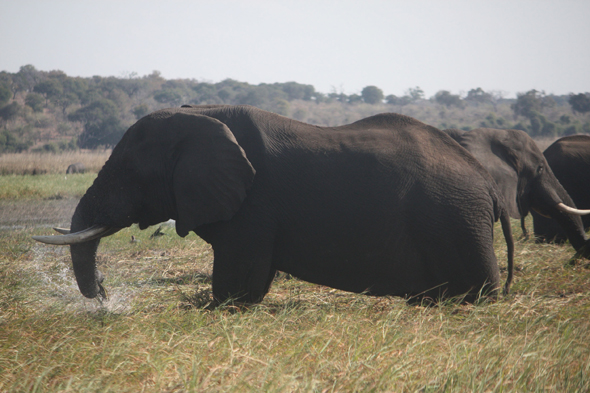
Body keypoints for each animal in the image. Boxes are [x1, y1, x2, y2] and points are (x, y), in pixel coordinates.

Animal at [33, 105, 512, 304]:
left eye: (130, 172)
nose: (105, 296)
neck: (201, 116)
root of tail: (488, 185)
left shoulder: (255, 206)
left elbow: (237, 286)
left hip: (456, 220)